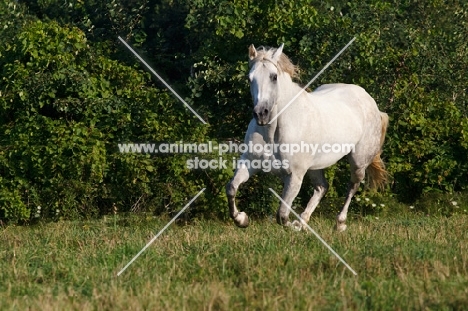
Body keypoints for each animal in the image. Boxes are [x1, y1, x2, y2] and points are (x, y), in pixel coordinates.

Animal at [226, 44, 388, 234]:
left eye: (274, 77)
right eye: (250, 78)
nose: (261, 114)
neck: (273, 132)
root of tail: (371, 102)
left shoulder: (295, 176)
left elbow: (282, 215)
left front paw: (293, 226)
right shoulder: (250, 163)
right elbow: (231, 188)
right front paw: (242, 219)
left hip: (358, 162)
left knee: (352, 187)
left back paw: (339, 223)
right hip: (315, 167)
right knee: (322, 187)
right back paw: (304, 222)